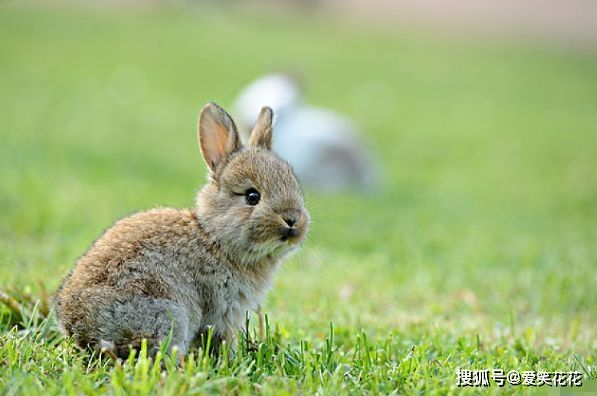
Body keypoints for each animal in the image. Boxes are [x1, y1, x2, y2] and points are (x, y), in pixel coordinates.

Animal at [53, 102, 310, 358]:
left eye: (295, 185)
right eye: (252, 196)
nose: (292, 220)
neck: (214, 237)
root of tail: (79, 327)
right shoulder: (223, 309)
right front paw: (231, 358)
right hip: (166, 312)